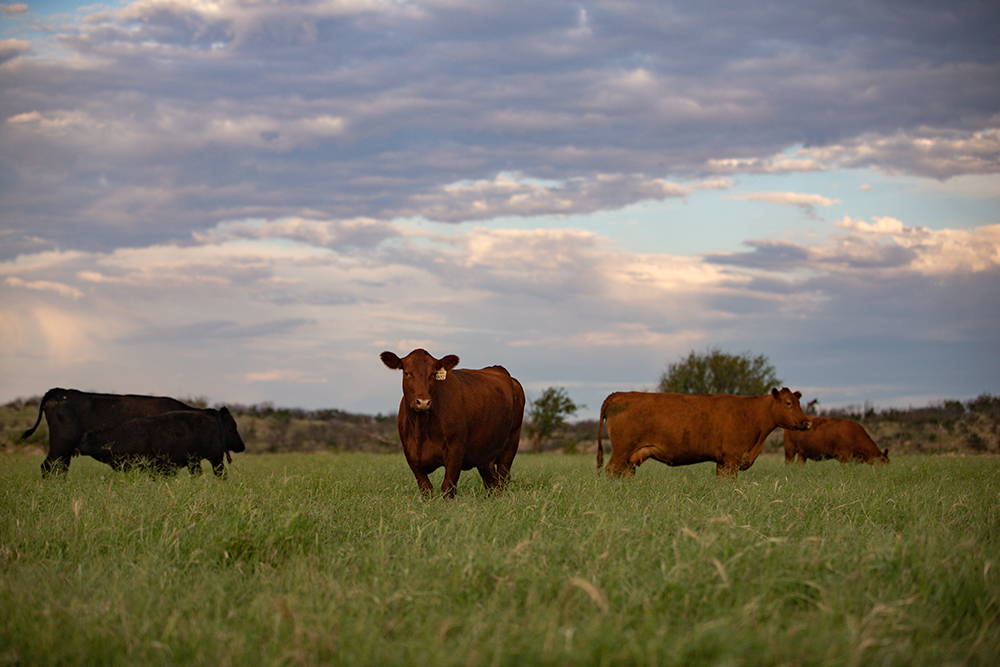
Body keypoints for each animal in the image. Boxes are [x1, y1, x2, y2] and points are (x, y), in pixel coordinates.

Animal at [378, 350, 528, 496]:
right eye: (407, 373)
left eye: (433, 374)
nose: (423, 402)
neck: (421, 429)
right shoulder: (410, 455)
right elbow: (426, 489)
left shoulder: (456, 451)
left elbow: (448, 488)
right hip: (485, 456)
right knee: (492, 483)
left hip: (511, 443)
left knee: (502, 479)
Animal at [596, 386, 808, 480]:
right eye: (788, 403)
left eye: (799, 402)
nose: (807, 422)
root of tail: (620, 394)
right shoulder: (732, 459)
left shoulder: (722, 462)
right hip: (621, 451)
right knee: (609, 471)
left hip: (629, 457)